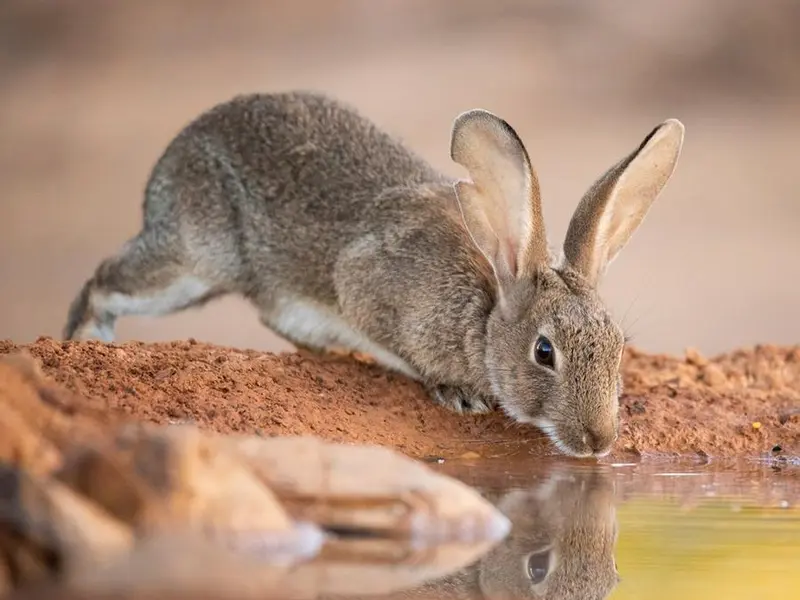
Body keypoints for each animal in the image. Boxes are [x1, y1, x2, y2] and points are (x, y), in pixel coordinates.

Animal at [63, 90, 684, 458]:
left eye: (618, 347)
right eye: (544, 352)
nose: (599, 440)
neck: (483, 316)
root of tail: (178, 147)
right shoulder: (364, 283)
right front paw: (458, 395)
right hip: (193, 263)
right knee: (103, 284)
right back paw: (85, 343)